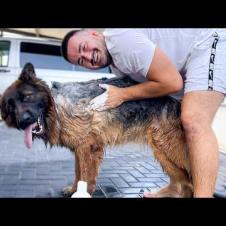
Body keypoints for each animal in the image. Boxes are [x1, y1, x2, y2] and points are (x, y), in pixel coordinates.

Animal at [0, 63, 193, 198]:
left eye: (27, 97)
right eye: (10, 107)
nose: (23, 121)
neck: (57, 108)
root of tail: (177, 102)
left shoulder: (89, 148)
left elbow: (85, 175)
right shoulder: (80, 149)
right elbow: (78, 174)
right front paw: (73, 189)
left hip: (170, 148)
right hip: (161, 150)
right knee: (183, 179)